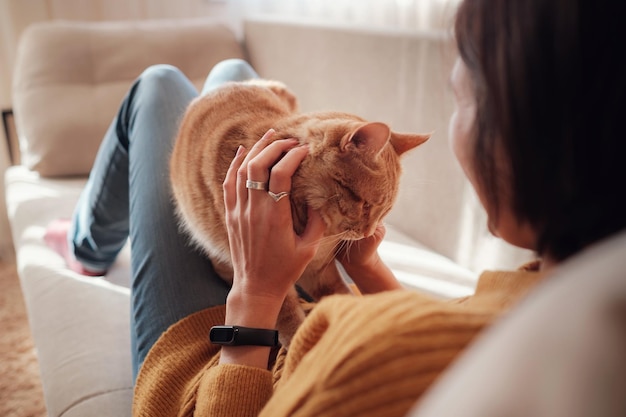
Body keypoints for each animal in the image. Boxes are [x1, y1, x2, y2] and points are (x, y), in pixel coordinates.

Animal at [168, 79, 426, 346]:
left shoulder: (322, 273)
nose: (368, 233)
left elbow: (341, 297)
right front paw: (297, 340)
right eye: (365, 205)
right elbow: (289, 318)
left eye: (384, 212)